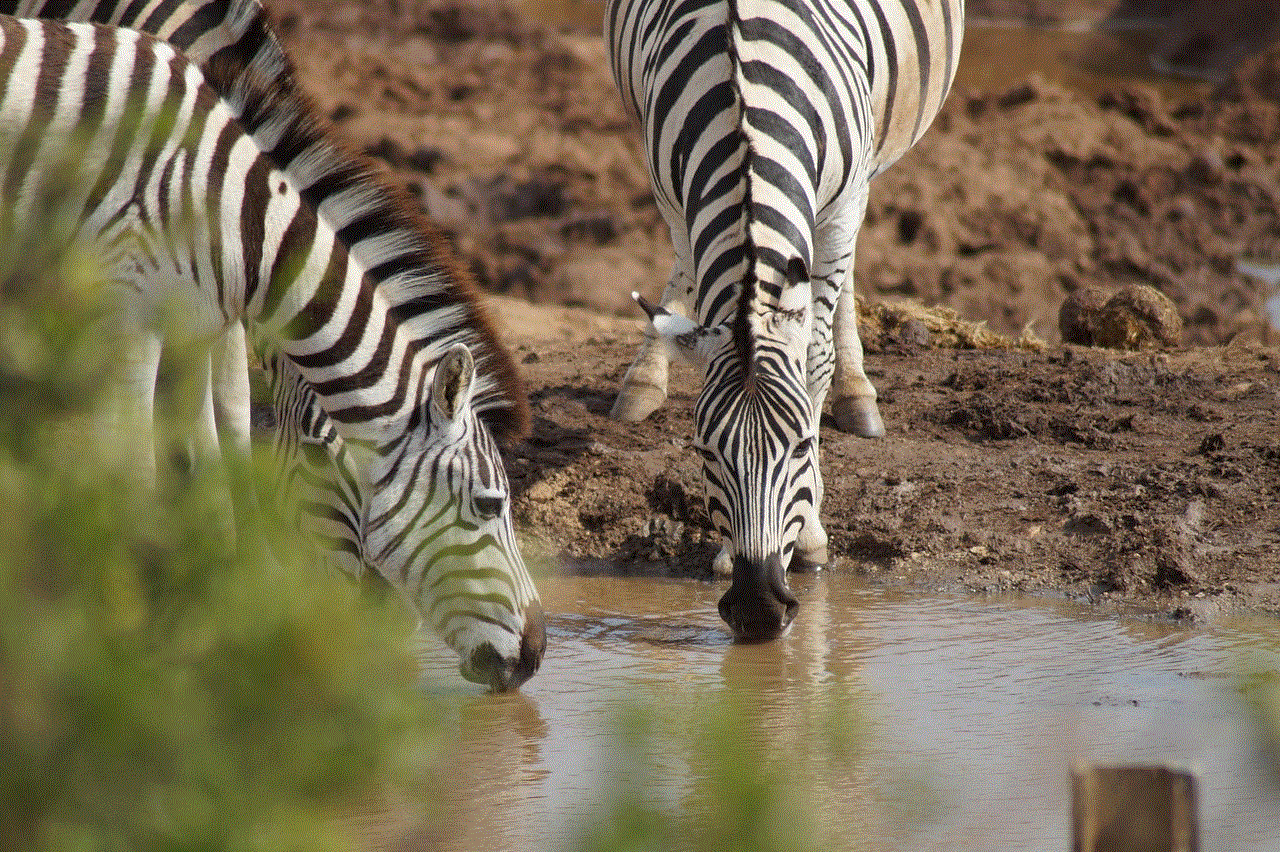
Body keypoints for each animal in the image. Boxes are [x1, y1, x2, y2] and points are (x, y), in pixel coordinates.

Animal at [0, 13, 545, 685]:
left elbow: (214, 446)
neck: (230, 217)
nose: (535, 655)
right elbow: (128, 469)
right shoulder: (124, 314)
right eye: (490, 506)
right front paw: (120, 630)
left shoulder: (190, 323)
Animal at [604, 0, 957, 637]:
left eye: (801, 447)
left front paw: (812, 537)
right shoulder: (674, 197)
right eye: (704, 452)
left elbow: (814, 359)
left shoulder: (840, 208)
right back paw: (645, 376)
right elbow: (692, 282)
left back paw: (857, 393)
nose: (758, 607)